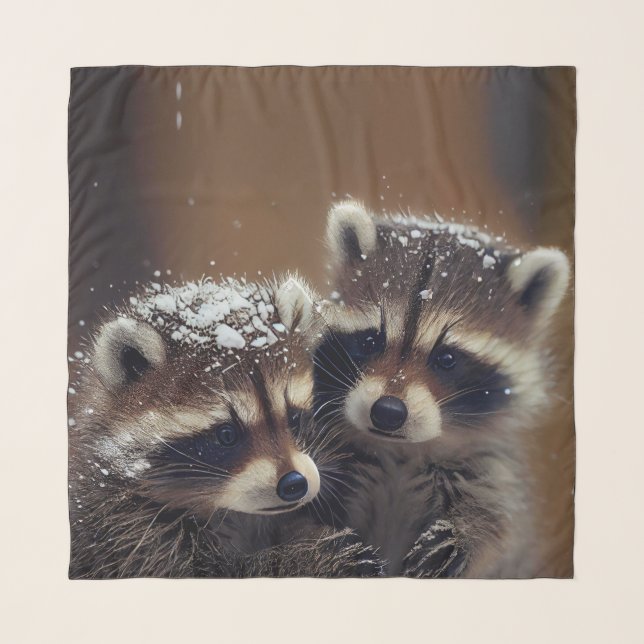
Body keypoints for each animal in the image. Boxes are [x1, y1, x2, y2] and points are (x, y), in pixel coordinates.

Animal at [68, 274, 382, 578]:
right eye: (227, 434)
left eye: (294, 418)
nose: (294, 484)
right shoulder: (125, 528)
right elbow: (215, 570)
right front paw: (309, 556)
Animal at [313, 201, 571, 577]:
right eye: (371, 341)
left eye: (446, 358)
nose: (387, 412)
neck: (400, 452)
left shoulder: (489, 466)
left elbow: (502, 524)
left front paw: (468, 531)